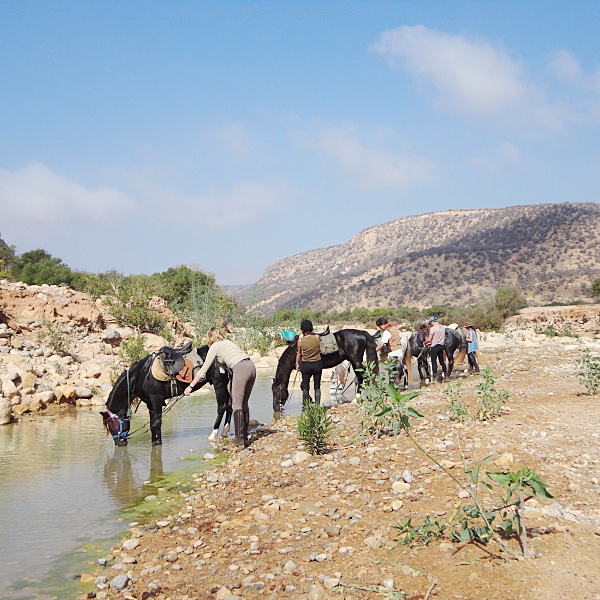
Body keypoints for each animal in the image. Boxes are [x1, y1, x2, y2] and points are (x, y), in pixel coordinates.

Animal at [102, 344, 231, 448]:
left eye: (112, 424)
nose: (119, 444)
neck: (142, 375)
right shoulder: (150, 403)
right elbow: (153, 424)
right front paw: (155, 442)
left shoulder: (156, 400)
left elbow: (156, 423)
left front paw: (158, 443)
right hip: (224, 385)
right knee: (230, 404)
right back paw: (225, 432)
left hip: (219, 384)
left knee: (222, 407)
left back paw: (213, 434)